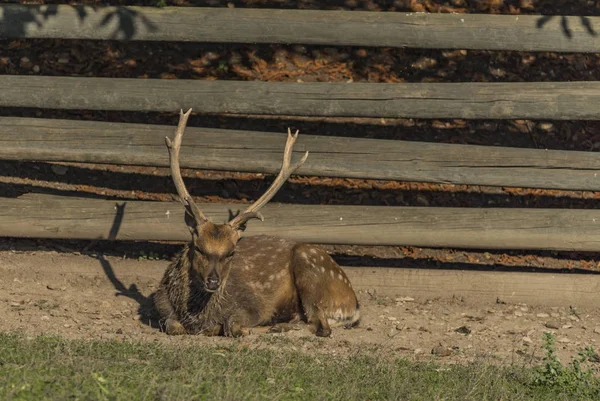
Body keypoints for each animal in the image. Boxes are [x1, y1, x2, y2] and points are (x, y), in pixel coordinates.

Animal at [156, 108, 360, 336]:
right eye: (198, 248)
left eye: (231, 253)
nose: (213, 281)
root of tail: (354, 307)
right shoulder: (160, 303)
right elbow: (173, 325)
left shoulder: (255, 305)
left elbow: (233, 326)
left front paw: (228, 327)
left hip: (310, 269)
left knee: (321, 326)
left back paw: (277, 326)